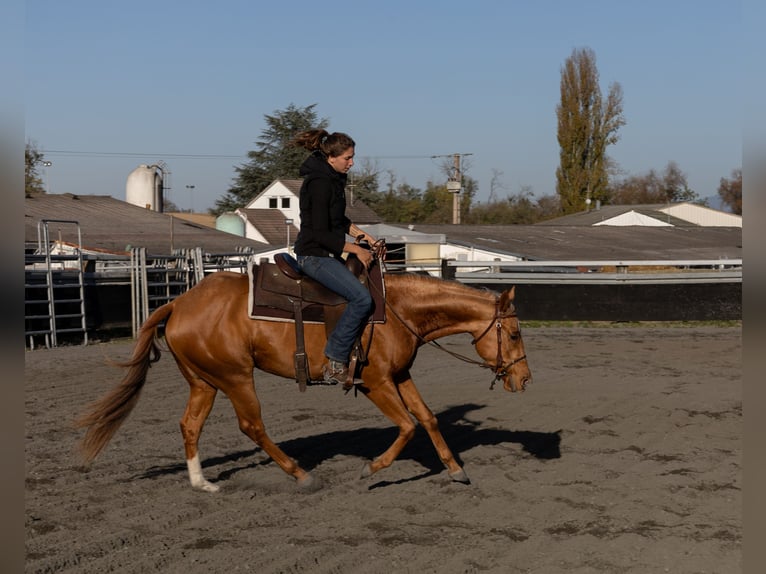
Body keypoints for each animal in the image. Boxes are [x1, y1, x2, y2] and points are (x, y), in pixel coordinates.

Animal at [78, 268, 536, 490]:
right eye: (514, 333)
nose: (526, 379)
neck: (396, 311)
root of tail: (177, 303)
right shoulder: (376, 383)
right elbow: (407, 425)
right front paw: (372, 469)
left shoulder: (400, 375)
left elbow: (428, 418)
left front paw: (456, 470)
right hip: (236, 377)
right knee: (252, 426)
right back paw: (300, 475)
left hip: (204, 381)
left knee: (190, 425)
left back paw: (202, 484)